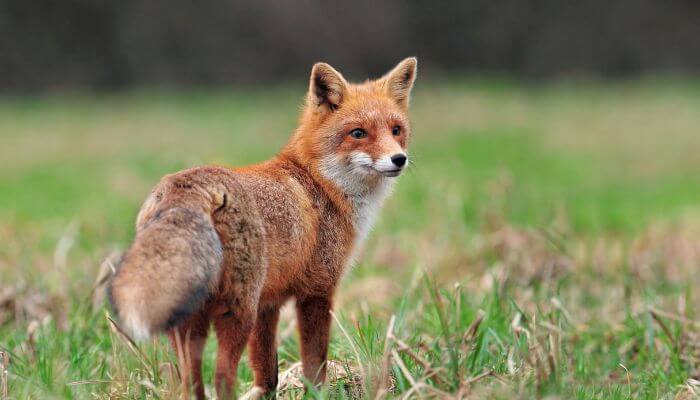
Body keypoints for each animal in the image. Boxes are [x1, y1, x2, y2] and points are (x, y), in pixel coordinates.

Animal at [106, 57, 418, 398]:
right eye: (358, 133)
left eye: (396, 130)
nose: (399, 159)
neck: (320, 183)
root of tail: (186, 186)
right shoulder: (317, 291)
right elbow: (314, 364)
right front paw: (318, 393)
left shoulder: (269, 303)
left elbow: (267, 371)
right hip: (236, 312)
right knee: (222, 376)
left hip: (193, 320)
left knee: (191, 381)